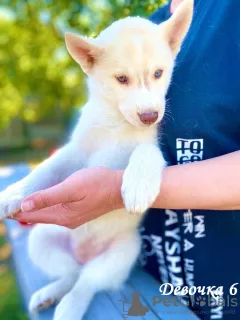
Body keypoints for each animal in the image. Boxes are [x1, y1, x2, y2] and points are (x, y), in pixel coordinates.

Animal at [0, 1, 192, 318]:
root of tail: (85, 254)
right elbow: (45, 169)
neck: (115, 124)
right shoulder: (75, 151)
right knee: (71, 274)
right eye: (122, 79)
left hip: (122, 254)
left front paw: (138, 185)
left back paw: (68, 307)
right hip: (42, 239)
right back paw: (51, 294)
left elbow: (146, 152)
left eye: (158, 73)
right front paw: (14, 193)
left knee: (85, 283)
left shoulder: (148, 144)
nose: (150, 116)